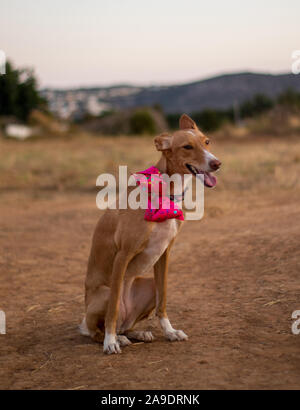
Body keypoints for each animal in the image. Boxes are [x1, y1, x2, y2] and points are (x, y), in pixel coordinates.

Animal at [79, 113, 220, 354]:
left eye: (207, 142)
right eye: (187, 146)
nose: (217, 164)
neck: (165, 193)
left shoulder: (165, 254)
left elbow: (163, 300)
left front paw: (170, 332)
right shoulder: (123, 255)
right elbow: (113, 310)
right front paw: (110, 342)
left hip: (148, 286)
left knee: (126, 326)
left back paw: (138, 334)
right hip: (103, 295)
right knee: (102, 326)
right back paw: (115, 338)